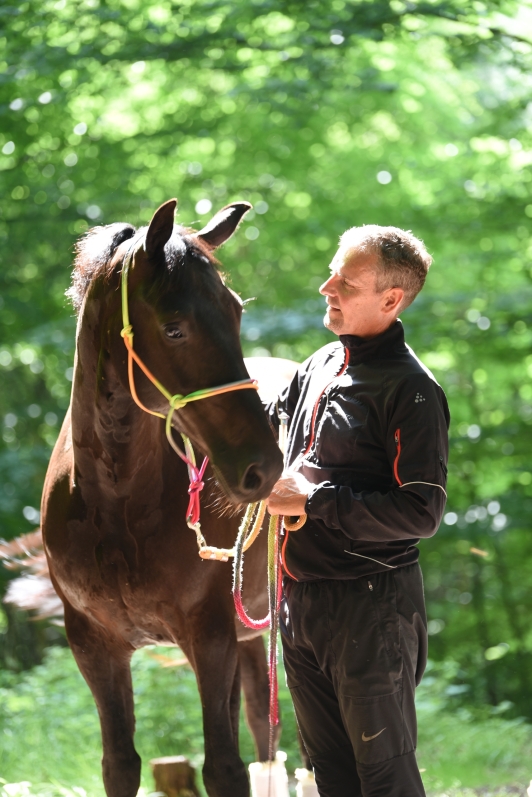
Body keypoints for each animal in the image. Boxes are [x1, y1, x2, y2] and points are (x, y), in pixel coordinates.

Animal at [40, 198, 284, 797]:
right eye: (174, 329)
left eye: (235, 311)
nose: (263, 467)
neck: (116, 503)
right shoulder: (94, 646)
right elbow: (119, 763)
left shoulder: (210, 636)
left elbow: (223, 767)